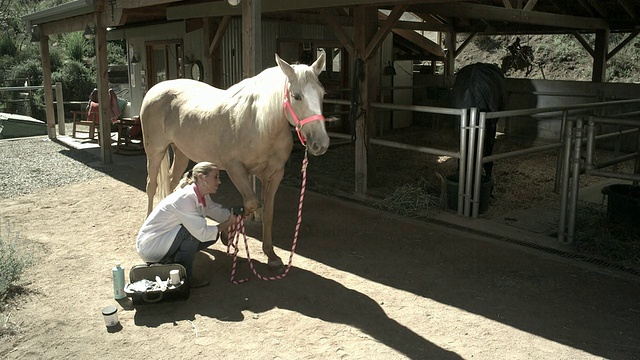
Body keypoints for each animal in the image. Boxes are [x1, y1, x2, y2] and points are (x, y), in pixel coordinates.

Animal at [140, 52, 330, 268]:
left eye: (322, 93)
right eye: (297, 96)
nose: (321, 143)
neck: (260, 123)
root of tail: (155, 89)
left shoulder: (274, 174)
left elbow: (268, 212)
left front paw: (271, 254)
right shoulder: (236, 169)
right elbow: (251, 203)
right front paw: (226, 234)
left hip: (181, 152)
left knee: (172, 182)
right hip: (155, 151)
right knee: (151, 185)